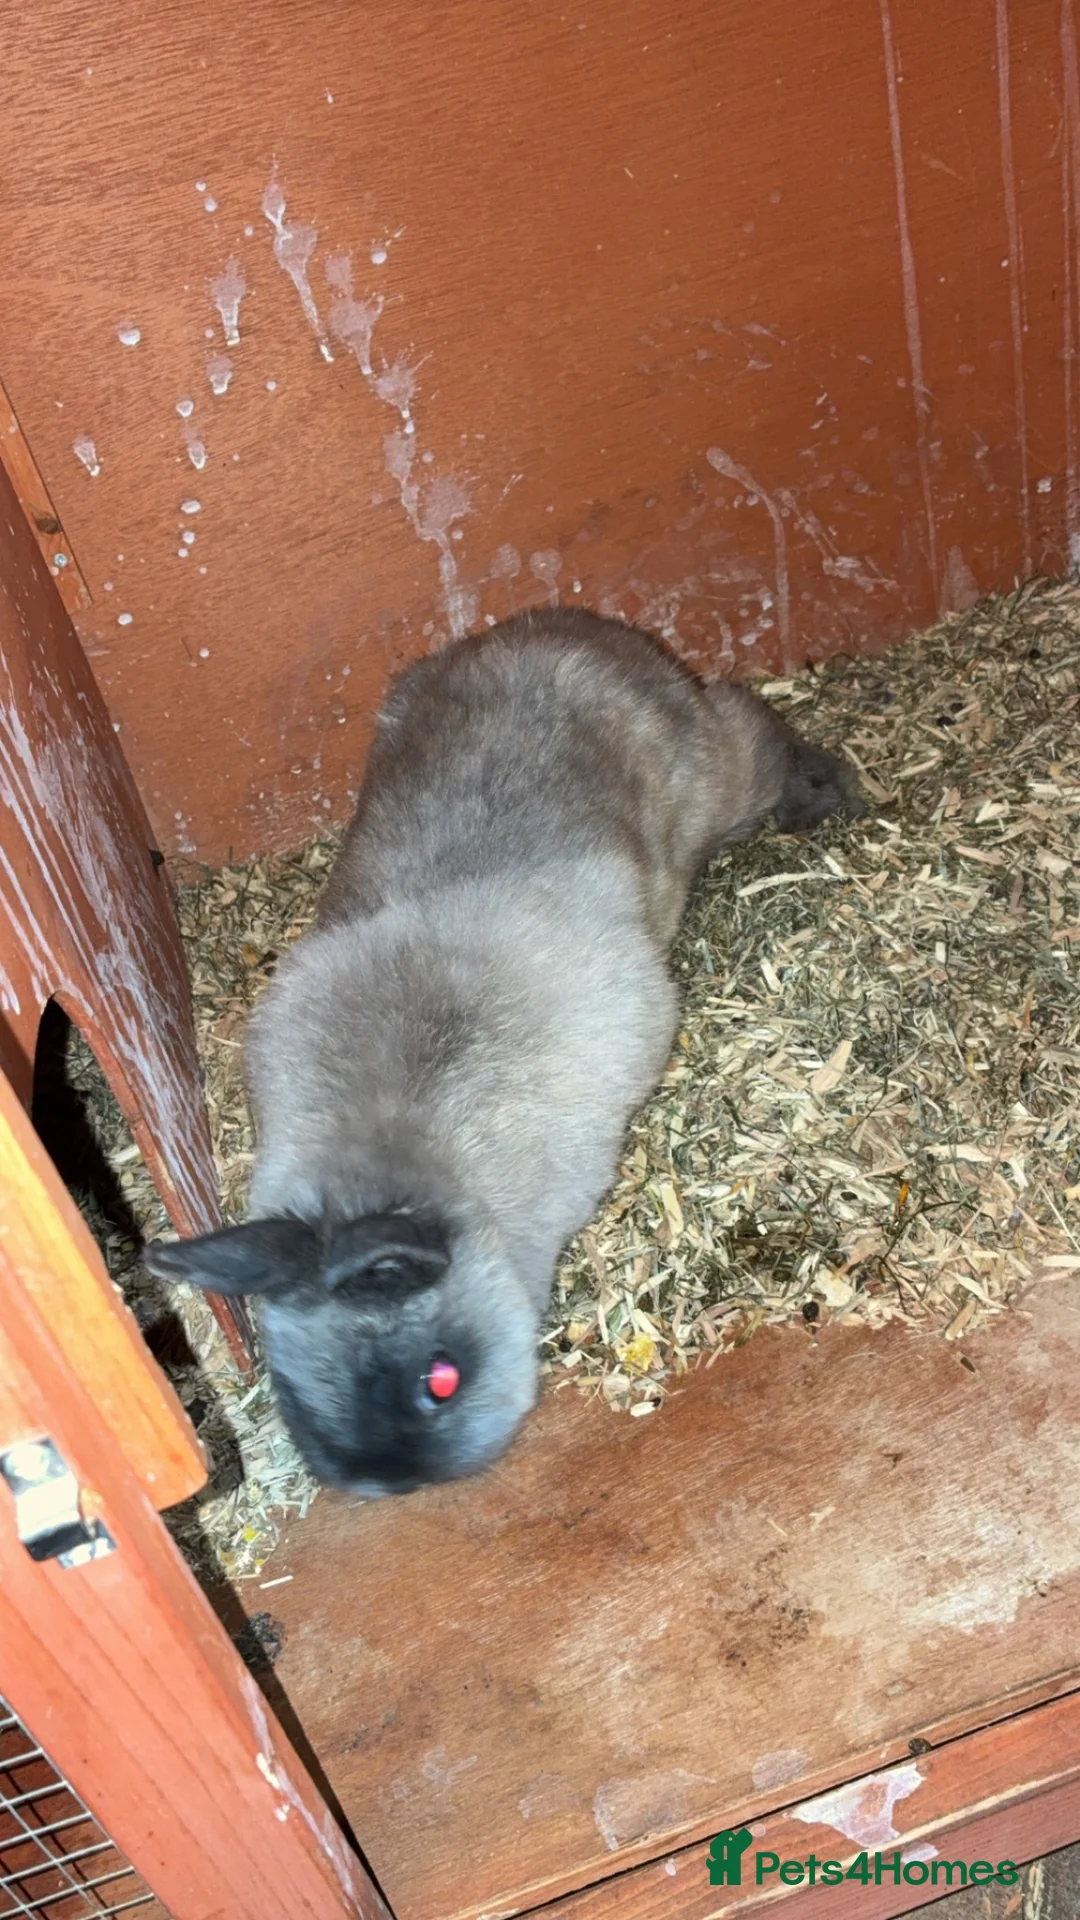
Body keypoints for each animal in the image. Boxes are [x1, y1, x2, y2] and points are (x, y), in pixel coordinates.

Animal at [145, 608, 861, 1497]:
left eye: (442, 1380)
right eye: (295, 1385)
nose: (393, 1485)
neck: (397, 1151)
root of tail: (564, 626)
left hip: (720, 772)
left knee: (754, 731)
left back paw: (830, 793)